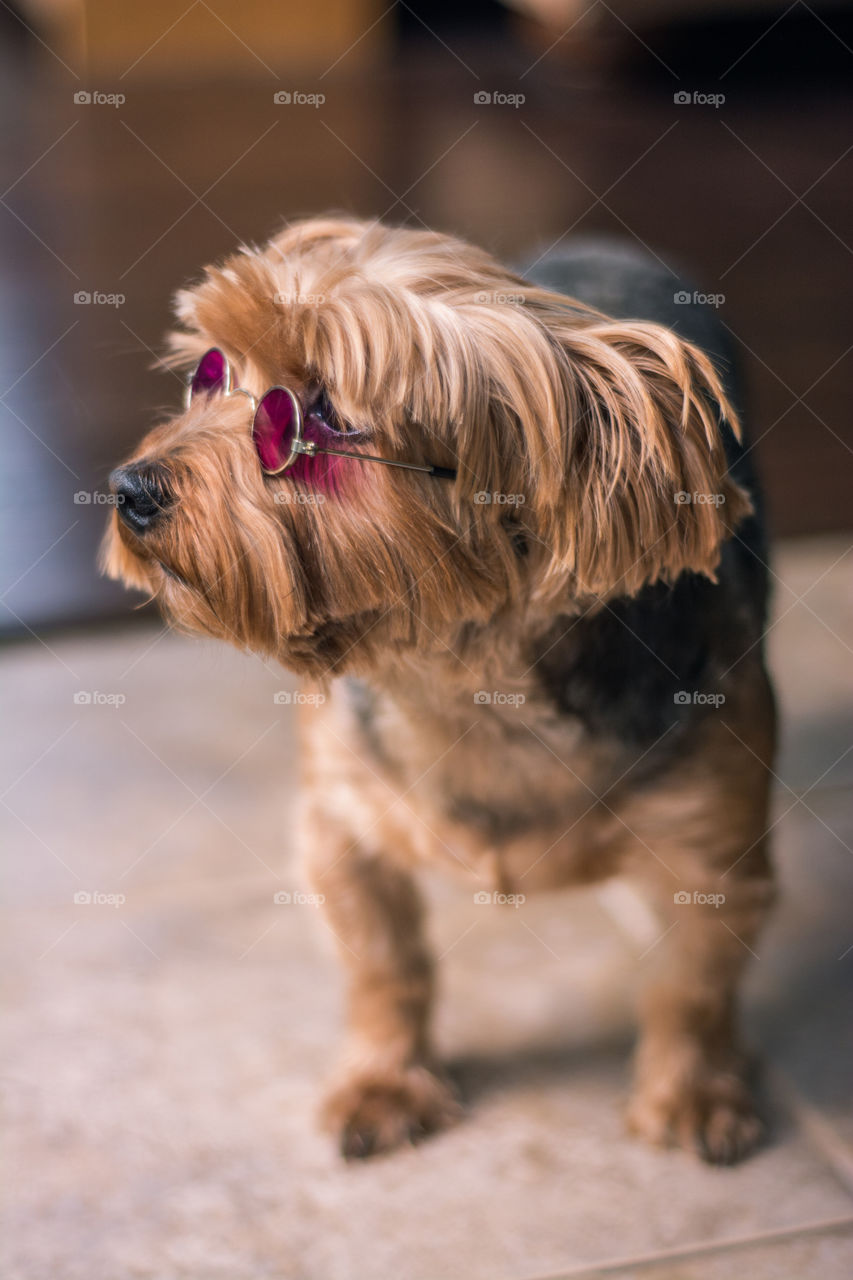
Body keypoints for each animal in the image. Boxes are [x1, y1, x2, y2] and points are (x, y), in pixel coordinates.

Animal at [103, 215, 773, 1167]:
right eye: (211, 373)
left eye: (320, 416)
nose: (129, 489)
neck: (459, 681)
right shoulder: (340, 824)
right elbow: (386, 967)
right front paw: (384, 1082)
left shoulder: (711, 845)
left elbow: (694, 985)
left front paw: (692, 1093)